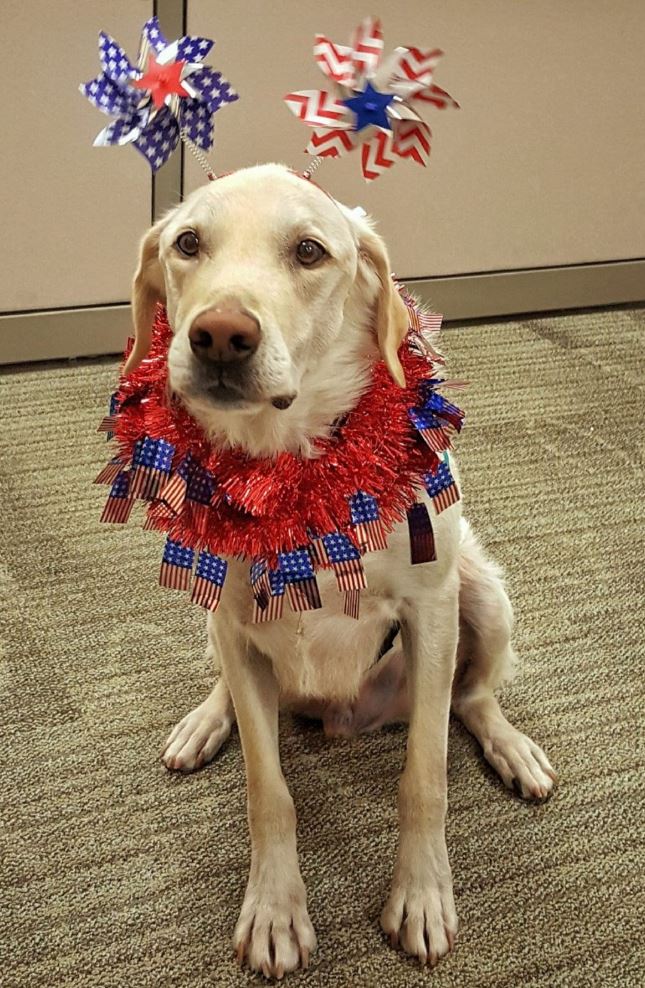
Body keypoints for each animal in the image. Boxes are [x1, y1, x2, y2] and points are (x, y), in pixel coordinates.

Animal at [123, 166, 556, 976]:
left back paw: (511, 747)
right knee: (229, 684)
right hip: (215, 622)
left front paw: (421, 896)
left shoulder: (428, 607)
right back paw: (205, 721)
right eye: (187, 244)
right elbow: (268, 792)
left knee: (472, 697)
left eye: (309, 251)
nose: (219, 335)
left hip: (480, 594)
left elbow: (424, 777)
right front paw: (274, 908)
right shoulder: (237, 617)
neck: (289, 462)